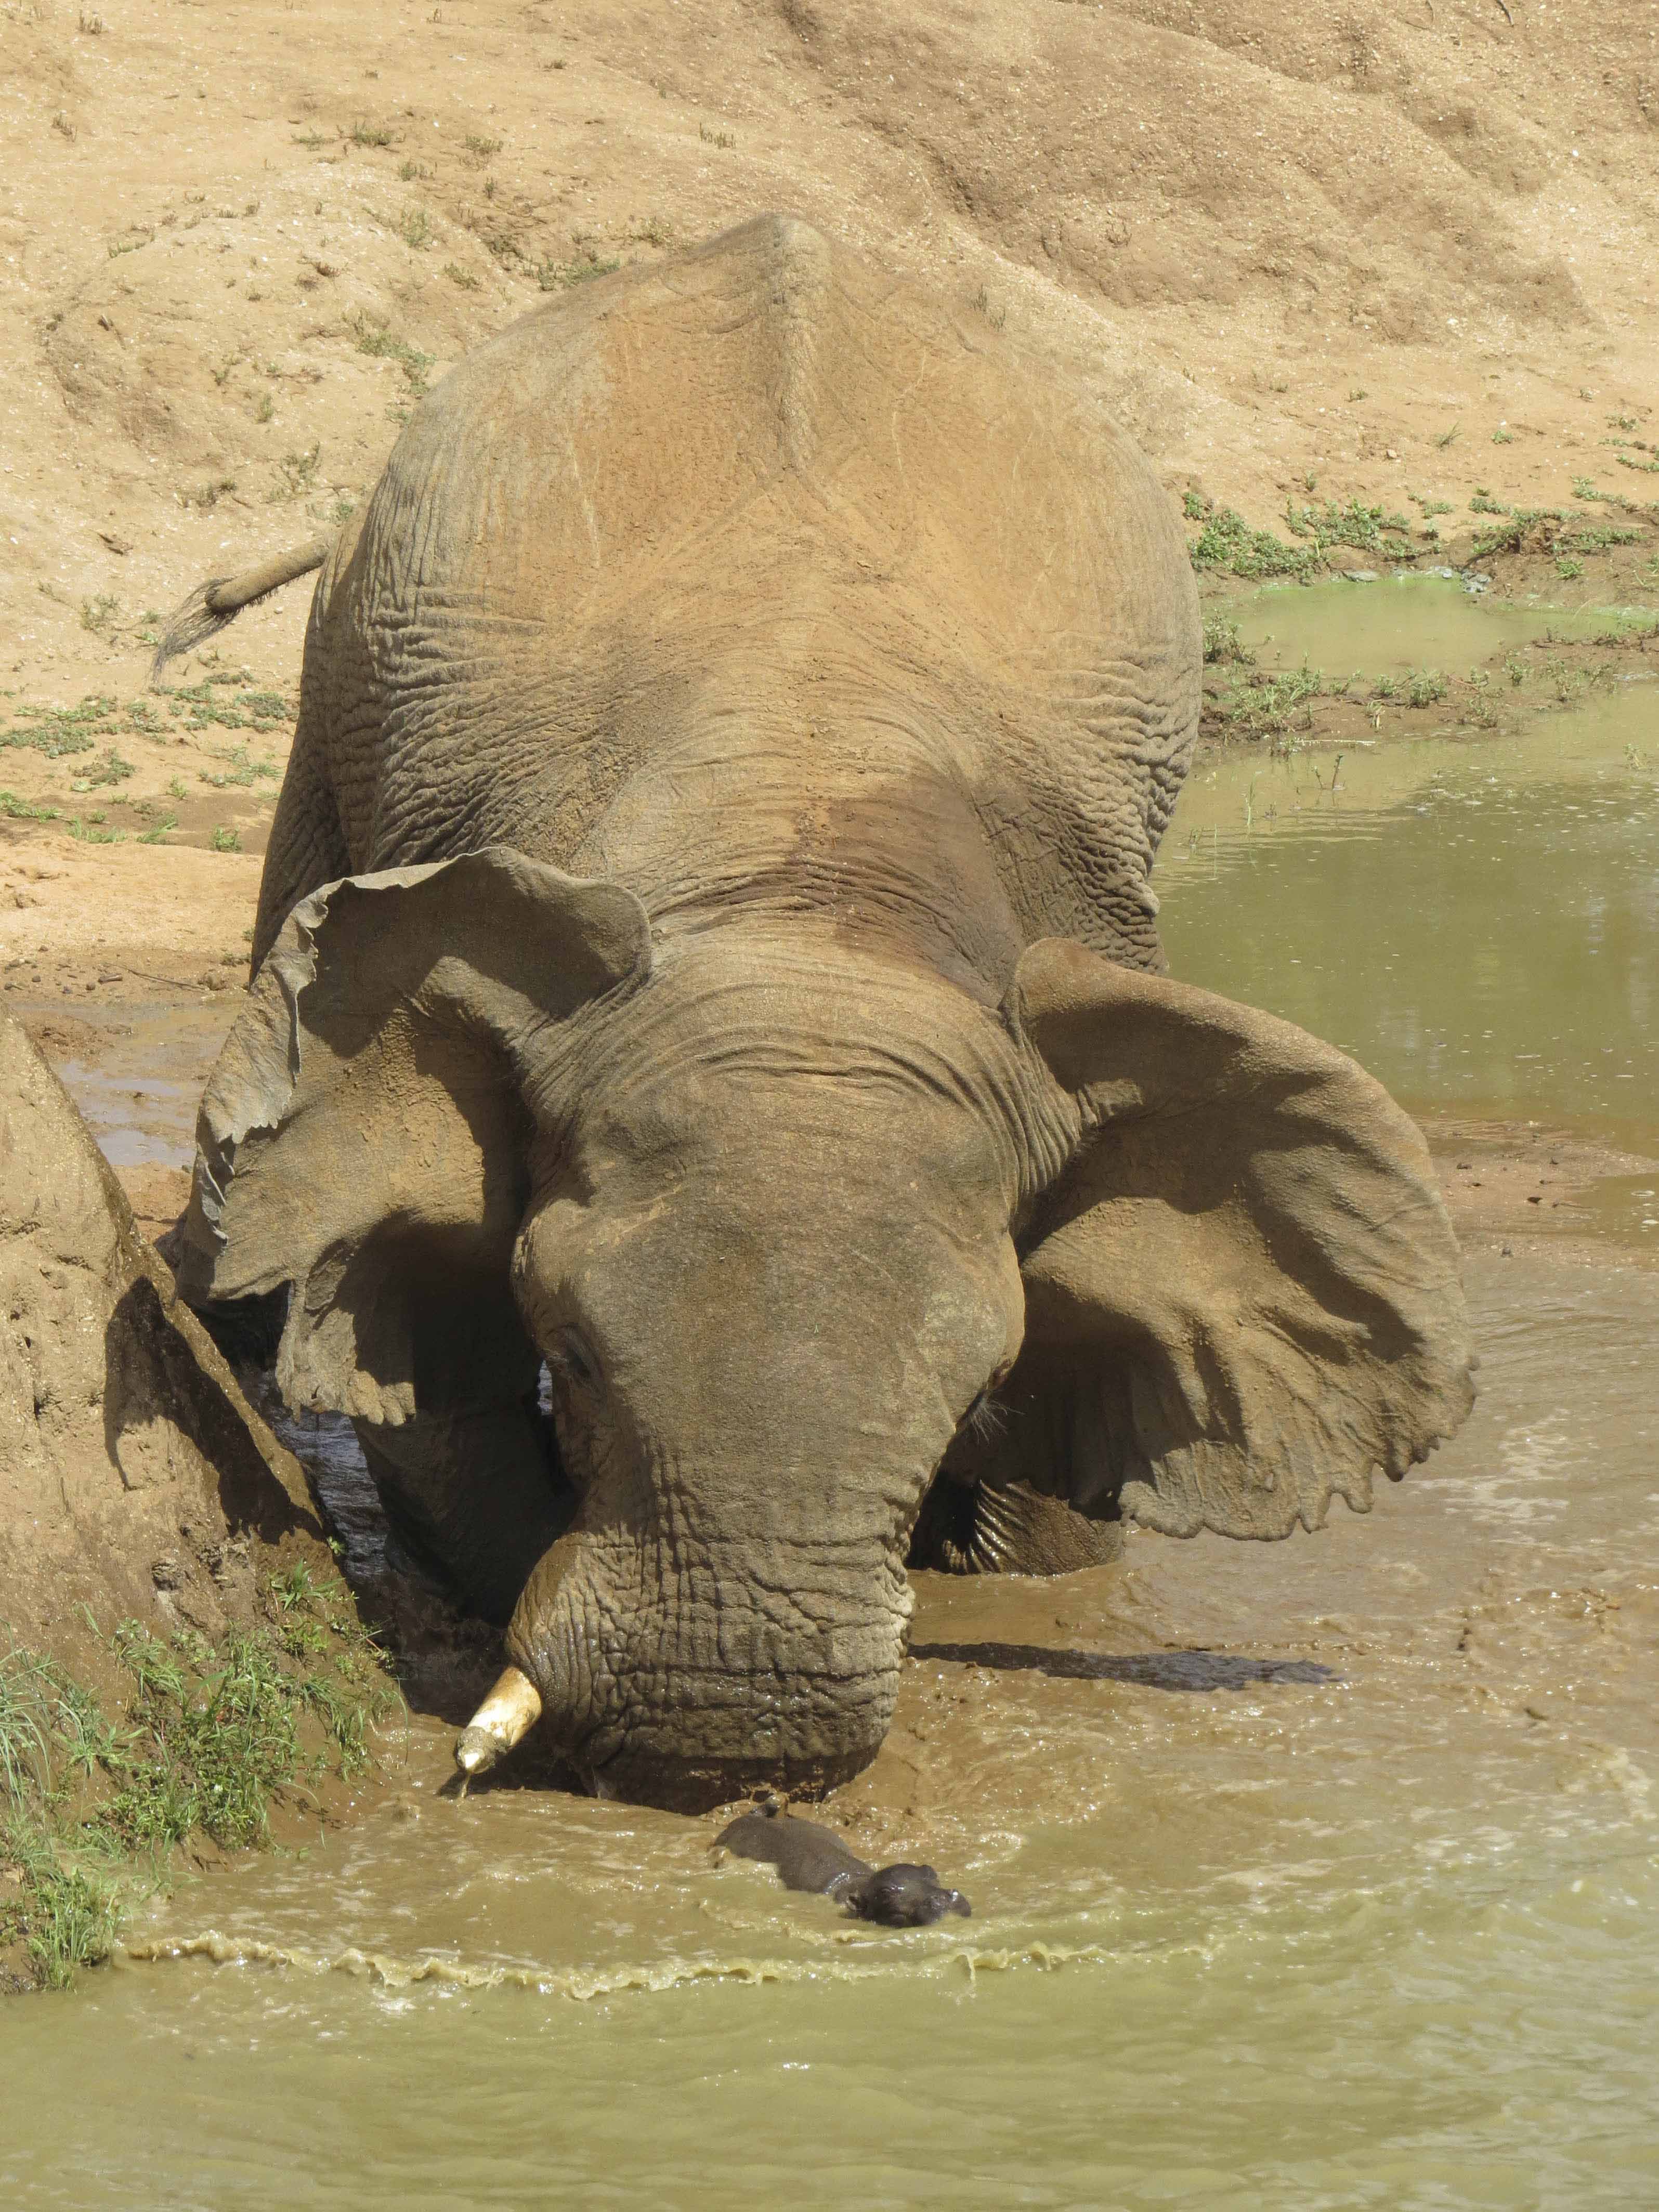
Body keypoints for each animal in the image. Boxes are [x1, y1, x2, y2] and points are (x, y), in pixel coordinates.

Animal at [162, 215, 1478, 1814]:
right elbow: (440, 1414)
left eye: (982, 1375)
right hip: (343, 637)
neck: (801, 884)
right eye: (571, 1346)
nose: (725, 1757)